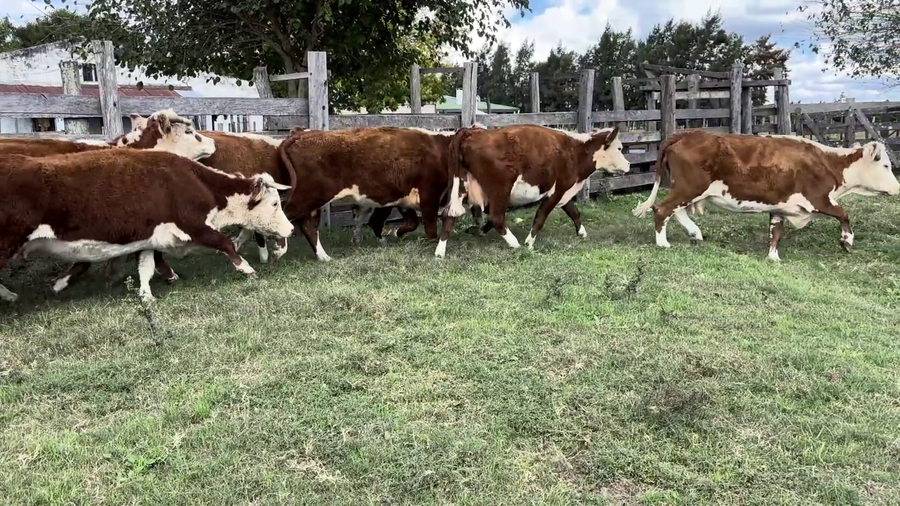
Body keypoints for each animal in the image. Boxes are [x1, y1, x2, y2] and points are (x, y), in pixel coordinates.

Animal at [0, 149, 293, 303]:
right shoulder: (194, 225)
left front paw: (147, 293)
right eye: (275, 204)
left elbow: (147, 266)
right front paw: (247, 269)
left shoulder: (150, 237)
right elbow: (225, 243)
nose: (289, 230)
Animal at [277, 126, 465, 261]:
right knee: (284, 216)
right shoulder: (429, 196)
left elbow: (410, 222)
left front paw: (395, 234)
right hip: (309, 195)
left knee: (308, 226)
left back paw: (324, 257)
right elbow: (430, 228)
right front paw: (431, 245)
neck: (441, 150)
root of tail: (300, 134)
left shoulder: (402, 198)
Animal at [435, 125, 631, 258]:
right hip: (500, 189)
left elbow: (573, 212)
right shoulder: (557, 191)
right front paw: (529, 242)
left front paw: (582, 232)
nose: (629, 165)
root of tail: (470, 131)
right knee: (497, 217)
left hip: (461, 187)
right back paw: (515, 244)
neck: (575, 151)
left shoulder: (564, 191)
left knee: (450, 216)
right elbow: (541, 216)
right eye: (619, 148)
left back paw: (440, 251)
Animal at [631, 130, 900, 260]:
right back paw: (663, 243)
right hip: (689, 187)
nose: (897, 188)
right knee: (663, 209)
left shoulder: (780, 206)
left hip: (688, 190)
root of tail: (685, 134)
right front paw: (847, 241)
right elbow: (844, 214)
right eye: (886, 165)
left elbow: (775, 232)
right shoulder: (819, 199)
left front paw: (773, 258)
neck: (827, 162)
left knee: (677, 211)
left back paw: (695, 234)